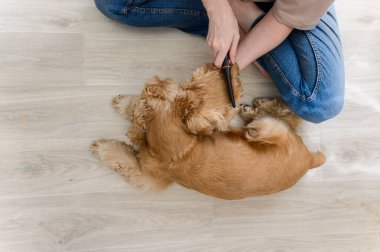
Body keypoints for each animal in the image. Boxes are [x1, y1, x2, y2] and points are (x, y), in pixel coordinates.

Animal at [90, 64, 326, 200]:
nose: (157, 79)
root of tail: (310, 159)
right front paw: (123, 104)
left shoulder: (150, 178)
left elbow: (122, 158)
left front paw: (101, 146)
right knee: (289, 118)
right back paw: (253, 108)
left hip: (272, 130)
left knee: (282, 120)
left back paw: (253, 117)